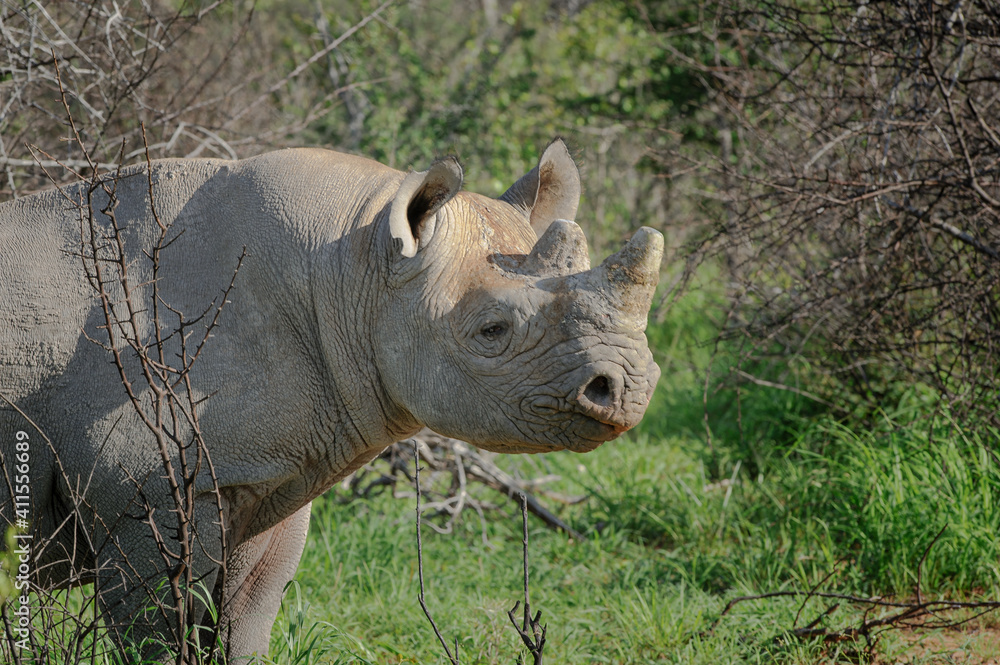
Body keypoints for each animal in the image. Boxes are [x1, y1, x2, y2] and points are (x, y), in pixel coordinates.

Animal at [0, 139, 662, 659]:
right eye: (491, 331)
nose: (630, 388)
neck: (355, 263)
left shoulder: (264, 467)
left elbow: (246, 620)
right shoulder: (146, 490)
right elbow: (156, 632)